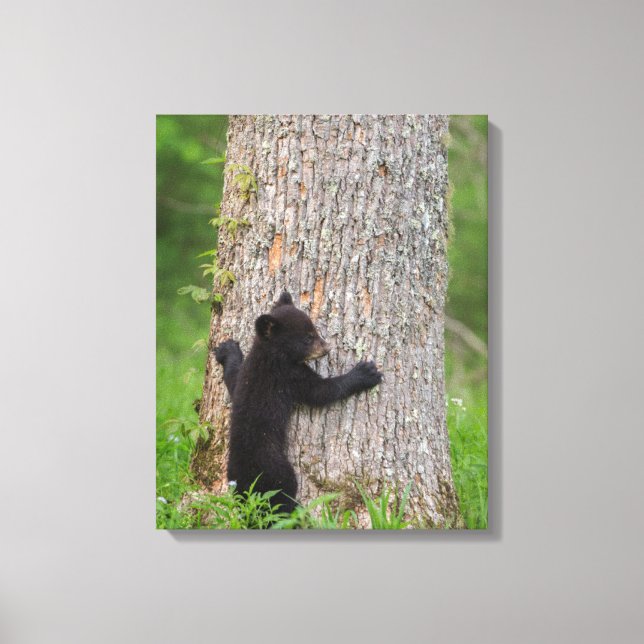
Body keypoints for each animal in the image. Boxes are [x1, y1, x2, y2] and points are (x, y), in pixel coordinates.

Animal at [213, 291, 383, 515]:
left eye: (314, 330)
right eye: (308, 337)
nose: (327, 347)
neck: (270, 354)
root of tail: (248, 485)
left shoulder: (246, 376)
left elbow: (233, 380)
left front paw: (227, 349)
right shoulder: (289, 376)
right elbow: (321, 392)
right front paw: (365, 373)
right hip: (277, 470)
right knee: (282, 497)